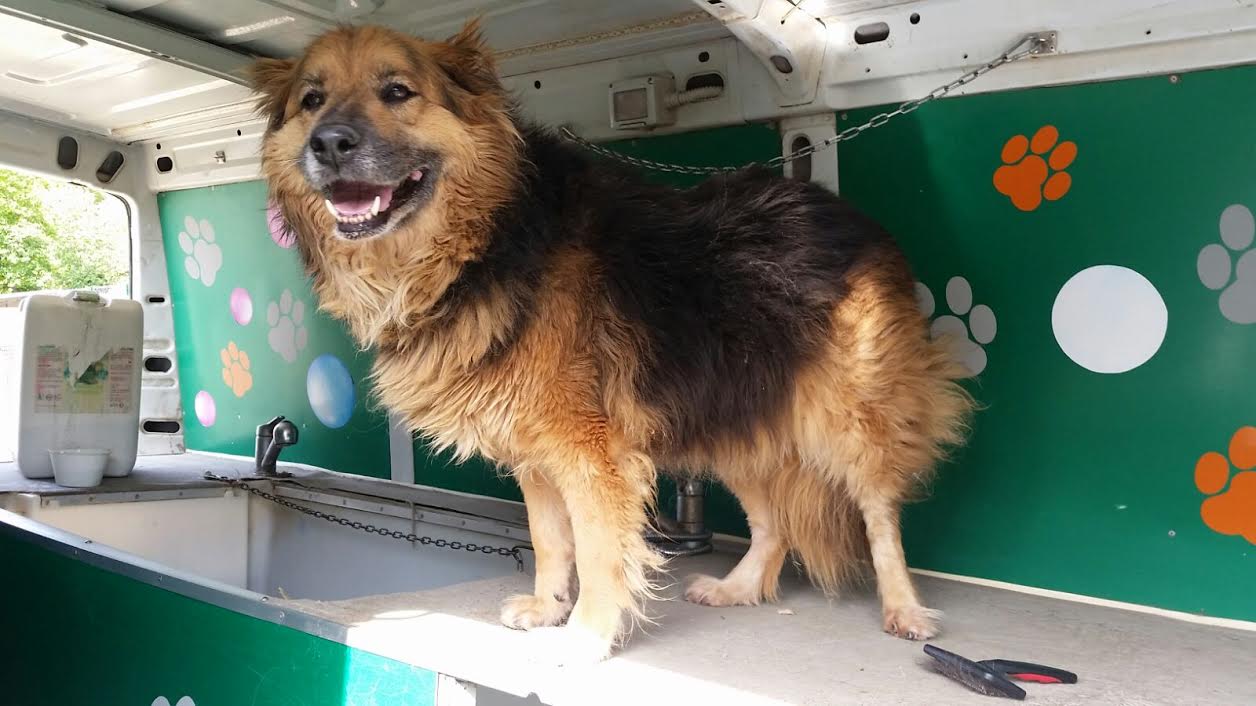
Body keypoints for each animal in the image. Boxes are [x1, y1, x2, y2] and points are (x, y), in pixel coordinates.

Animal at [250, 21, 973, 664]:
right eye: (311, 100)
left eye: (397, 91)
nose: (329, 143)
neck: (483, 243)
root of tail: (843, 210)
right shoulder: (534, 451)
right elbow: (550, 540)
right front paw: (548, 608)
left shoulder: (592, 453)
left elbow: (599, 550)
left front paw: (588, 636)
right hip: (731, 416)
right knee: (772, 522)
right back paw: (738, 587)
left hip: (849, 416)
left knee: (879, 514)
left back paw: (904, 609)